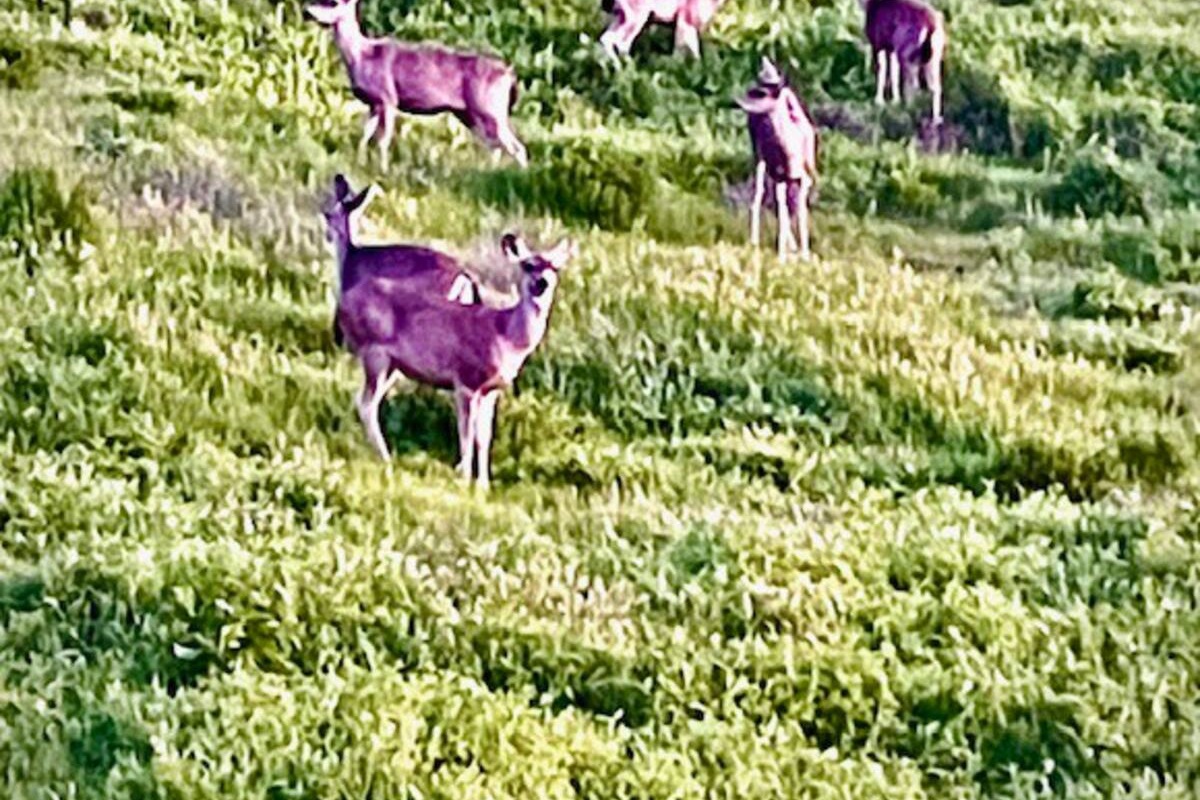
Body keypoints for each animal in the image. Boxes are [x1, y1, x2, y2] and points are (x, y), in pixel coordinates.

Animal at [304, 0, 525, 169]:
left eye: (333, 2)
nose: (306, 11)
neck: (362, 56)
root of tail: (508, 75)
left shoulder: (388, 98)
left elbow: (383, 140)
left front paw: (383, 170)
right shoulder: (373, 103)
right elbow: (365, 135)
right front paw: (360, 163)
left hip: (489, 108)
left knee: (516, 146)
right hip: (469, 113)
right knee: (495, 145)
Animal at [338, 235, 576, 491]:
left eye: (555, 267)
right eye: (527, 265)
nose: (542, 283)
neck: (504, 335)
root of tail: (343, 301)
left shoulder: (492, 390)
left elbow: (484, 436)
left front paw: (483, 485)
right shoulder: (466, 379)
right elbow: (466, 434)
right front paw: (464, 479)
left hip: (393, 365)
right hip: (375, 352)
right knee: (366, 403)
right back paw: (385, 458)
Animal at [734, 59, 820, 260]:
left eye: (761, 93)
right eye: (754, 89)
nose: (737, 100)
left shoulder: (804, 177)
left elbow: (798, 209)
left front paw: (803, 254)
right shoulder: (779, 174)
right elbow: (783, 207)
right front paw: (783, 254)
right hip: (760, 159)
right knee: (761, 193)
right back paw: (755, 242)